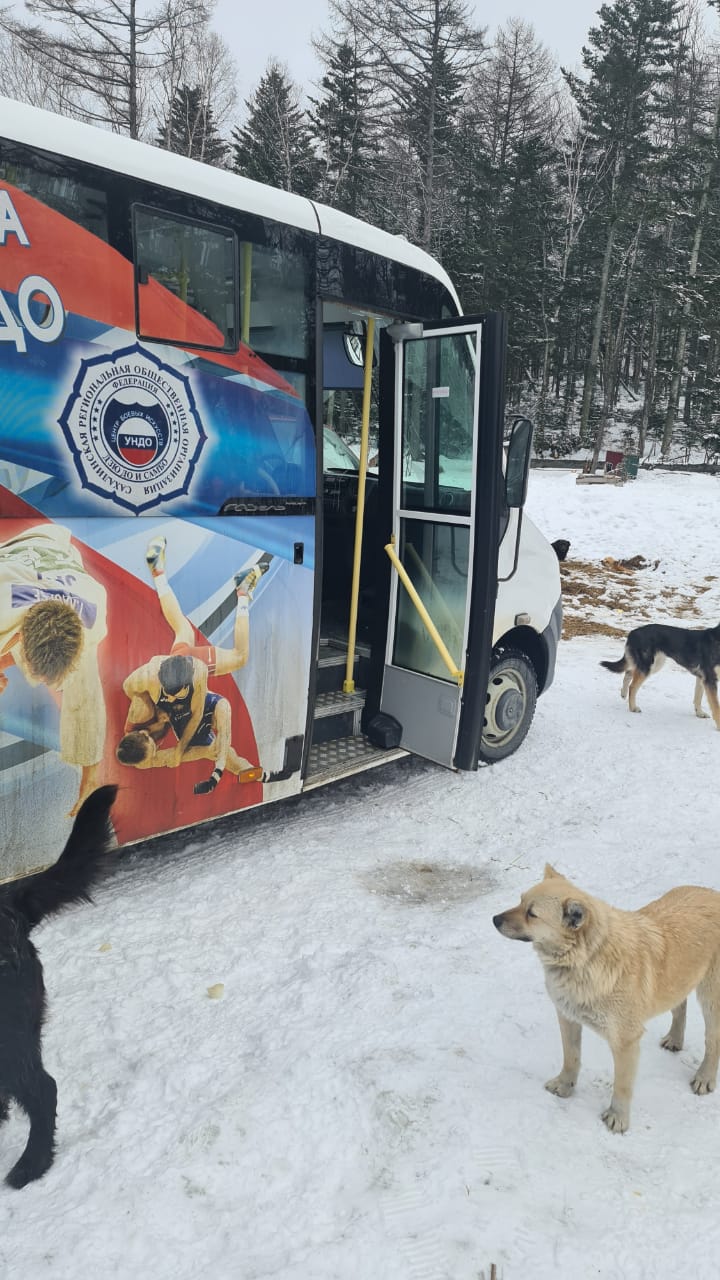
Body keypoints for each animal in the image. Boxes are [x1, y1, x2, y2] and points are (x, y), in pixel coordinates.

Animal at [489, 870, 717, 1131]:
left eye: (532, 913)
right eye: (520, 901)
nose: (494, 919)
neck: (585, 959)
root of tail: (714, 894)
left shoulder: (625, 1041)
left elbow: (622, 1085)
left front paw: (618, 1117)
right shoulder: (567, 1018)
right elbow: (571, 1057)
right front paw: (565, 1085)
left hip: (711, 998)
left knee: (713, 1040)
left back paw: (705, 1077)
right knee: (679, 1007)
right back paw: (675, 1039)